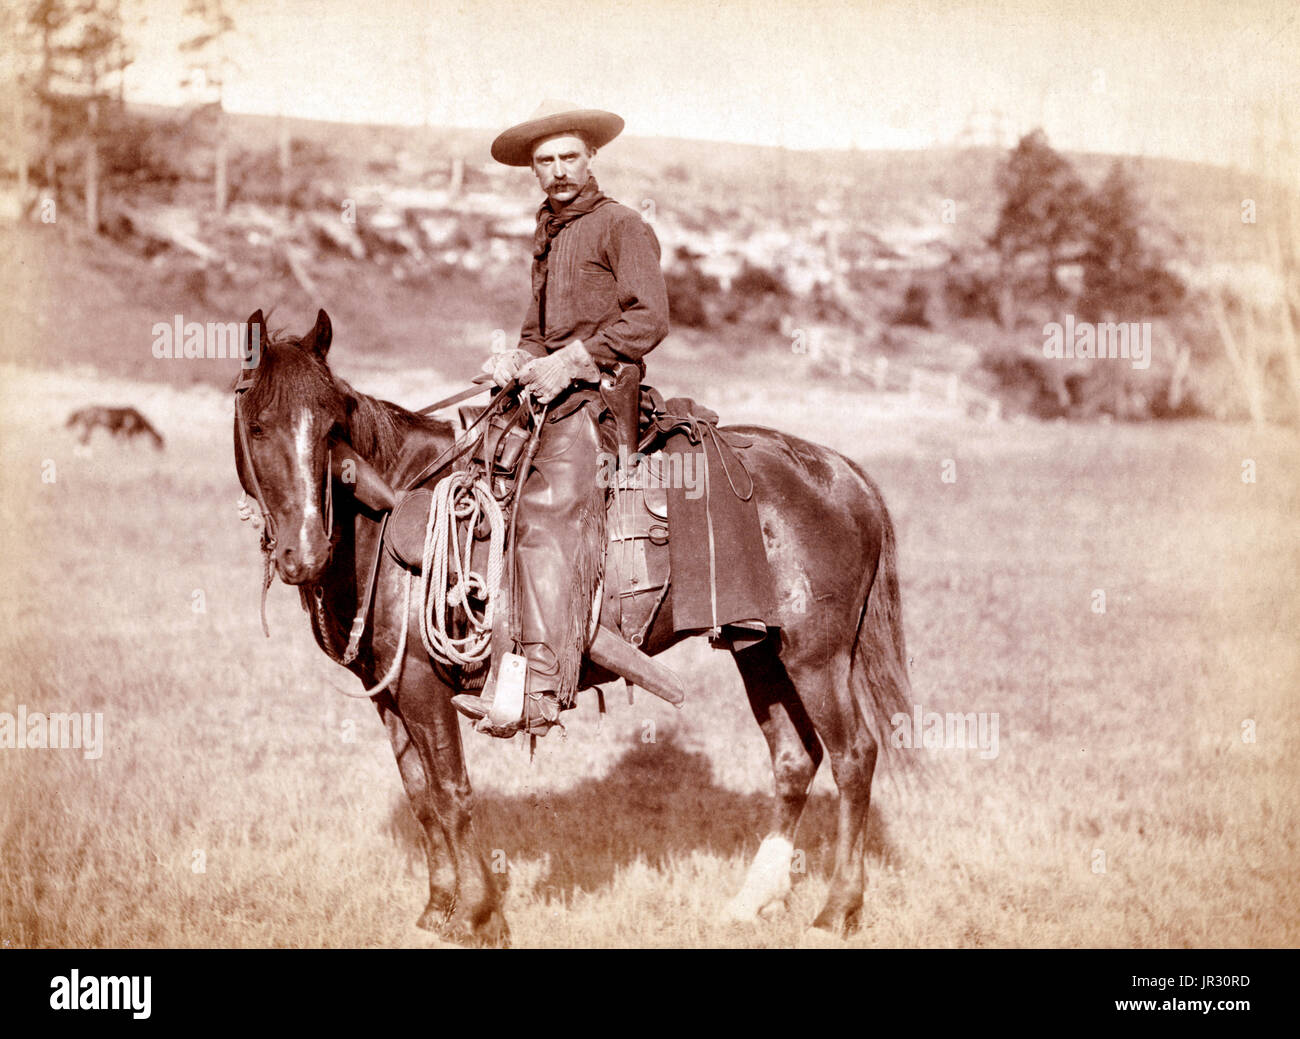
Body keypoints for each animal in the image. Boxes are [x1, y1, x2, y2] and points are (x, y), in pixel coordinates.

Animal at [228, 306, 909, 941]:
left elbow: (452, 795)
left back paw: (837, 910)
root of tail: (843, 473)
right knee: (795, 759)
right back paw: (752, 901)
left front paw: (477, 915)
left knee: (854, 756)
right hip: (759, 649)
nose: (305, 554)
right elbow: (422, 798)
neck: (386, 515)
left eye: (331, 427)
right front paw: (435, 909)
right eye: (258, 426)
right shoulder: (390, 695)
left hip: (816, 656)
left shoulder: (423, 686)